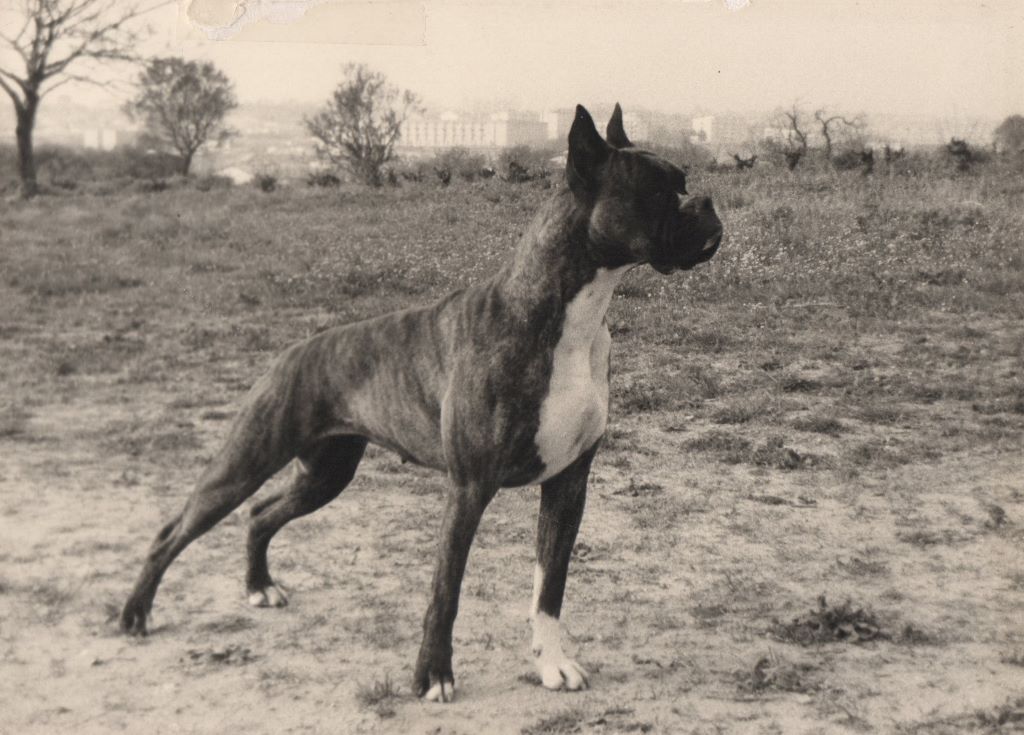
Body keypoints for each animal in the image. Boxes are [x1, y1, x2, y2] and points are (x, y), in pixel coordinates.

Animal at [123, 102, 724, 704]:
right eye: (654, 191)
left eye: (682, 182)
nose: (707, 203)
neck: (570, 316)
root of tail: (292, 350)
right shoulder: (469, 487)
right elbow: (446, 591)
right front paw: (432, 676)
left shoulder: (568, 484)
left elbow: (548, 589)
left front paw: (553, 665)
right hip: (246, 460)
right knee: (174, 531)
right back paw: (136, 614)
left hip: (324, 475)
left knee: (260, 514)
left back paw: (259, 587)